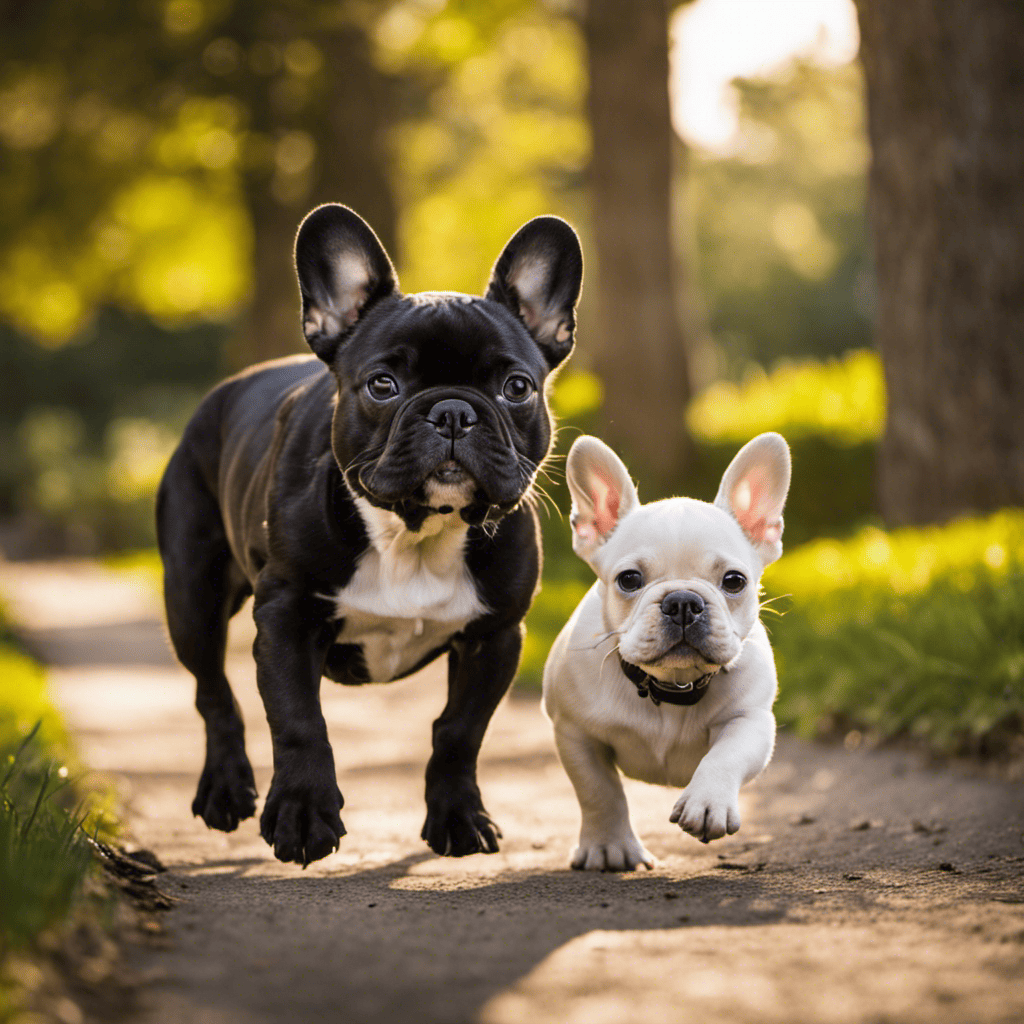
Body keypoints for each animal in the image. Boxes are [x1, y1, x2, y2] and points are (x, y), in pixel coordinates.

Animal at [544, 432, 790, 872]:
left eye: (734, 580)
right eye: (628, 579)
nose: (682, 602)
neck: (672, 686)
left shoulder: (751, 720)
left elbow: (726, 755)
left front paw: (707, 803)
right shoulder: (575, 732)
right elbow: (599, 790)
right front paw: (609, 846)